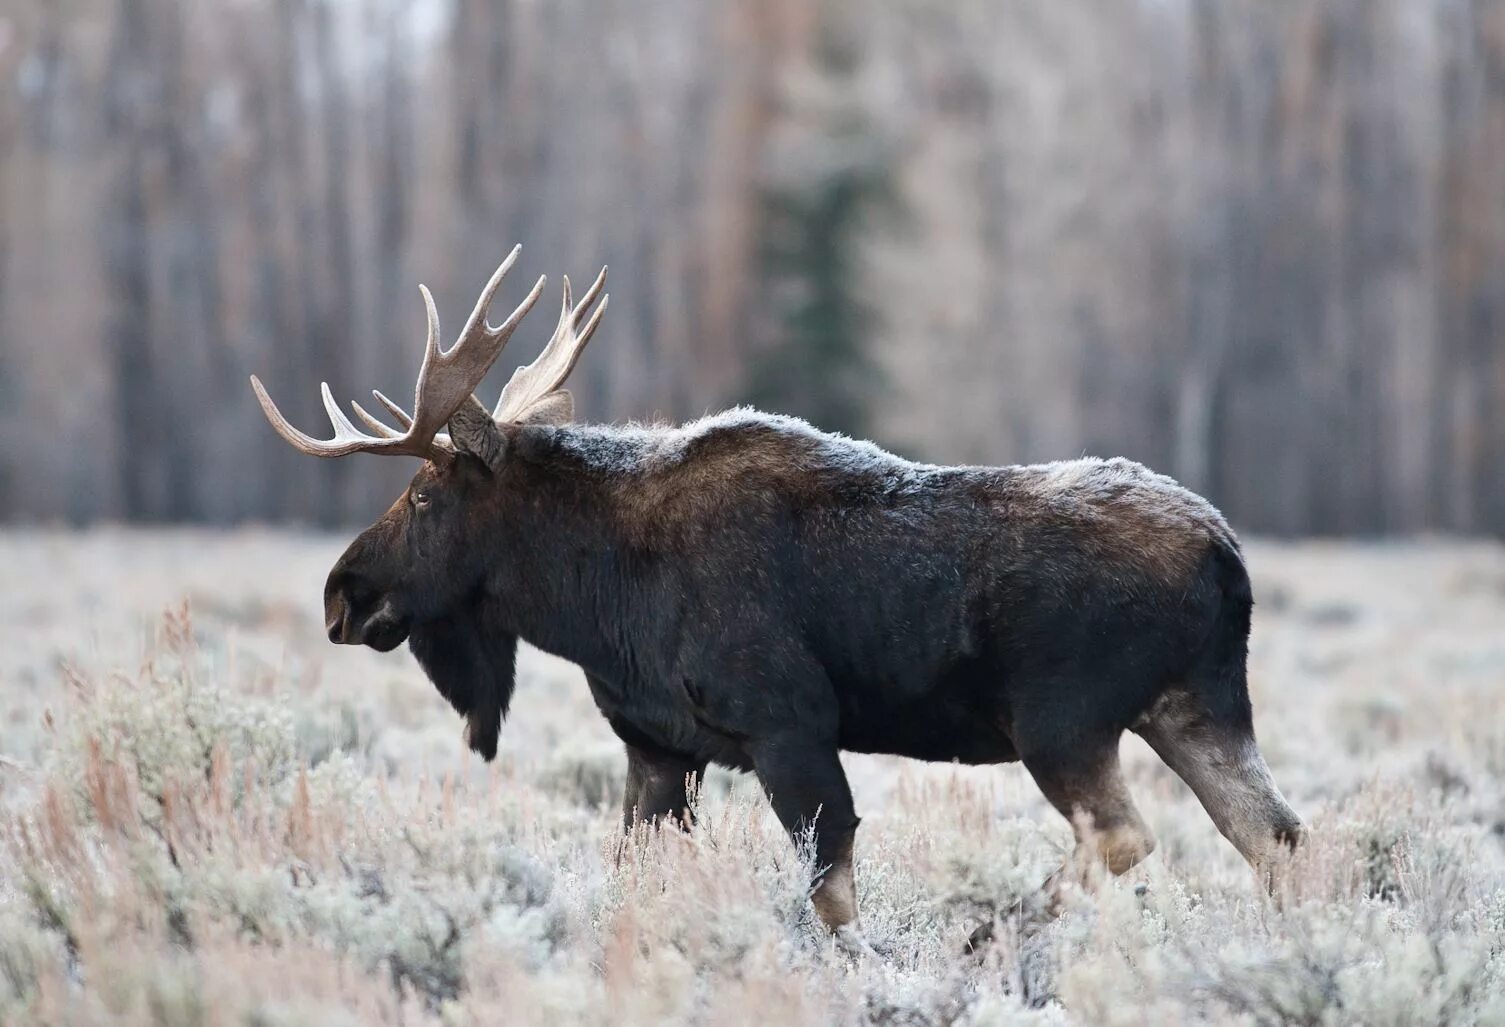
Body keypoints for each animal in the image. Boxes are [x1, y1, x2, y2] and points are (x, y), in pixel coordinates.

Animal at [249, 248, 1306, 933]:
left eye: (424, 493)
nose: (343, 593)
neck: (595, 599)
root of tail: (1227, 557)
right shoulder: (658, 749)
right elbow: (632, 876)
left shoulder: (787, 726)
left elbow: (830, 896)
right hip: (1197, 708)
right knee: (1276, 835)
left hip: (1062, 719)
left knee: (1129, 836)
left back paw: (989, 934)